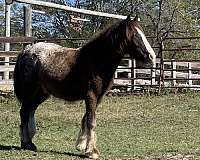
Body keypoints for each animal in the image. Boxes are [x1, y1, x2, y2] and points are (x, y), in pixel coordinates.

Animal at [13, 15, 156, 159]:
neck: (97, 61)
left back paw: (30, 140)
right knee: (24, 112)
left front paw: (81, 145)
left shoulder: (98, 97)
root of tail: (25, 51)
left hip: (41, 93)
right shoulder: (91, 95)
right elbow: (91, 121)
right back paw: (26, 143)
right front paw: (91, 151)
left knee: (30, 110)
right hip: (30, 91)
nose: (152, 56)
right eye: (135, 35)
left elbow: (86, 119)